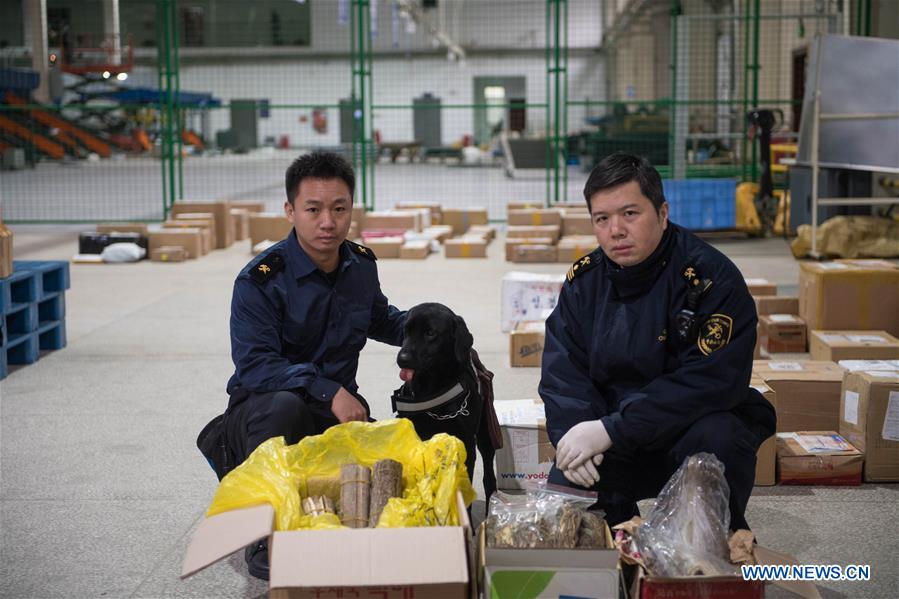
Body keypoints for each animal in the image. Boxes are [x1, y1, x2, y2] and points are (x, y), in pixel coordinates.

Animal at [392, 302, 500, 500]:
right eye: (406, 330)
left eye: (430, 333)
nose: (402, 359)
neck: (432, 388)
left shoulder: (466, 443)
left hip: (487, 432)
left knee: (489, 476)